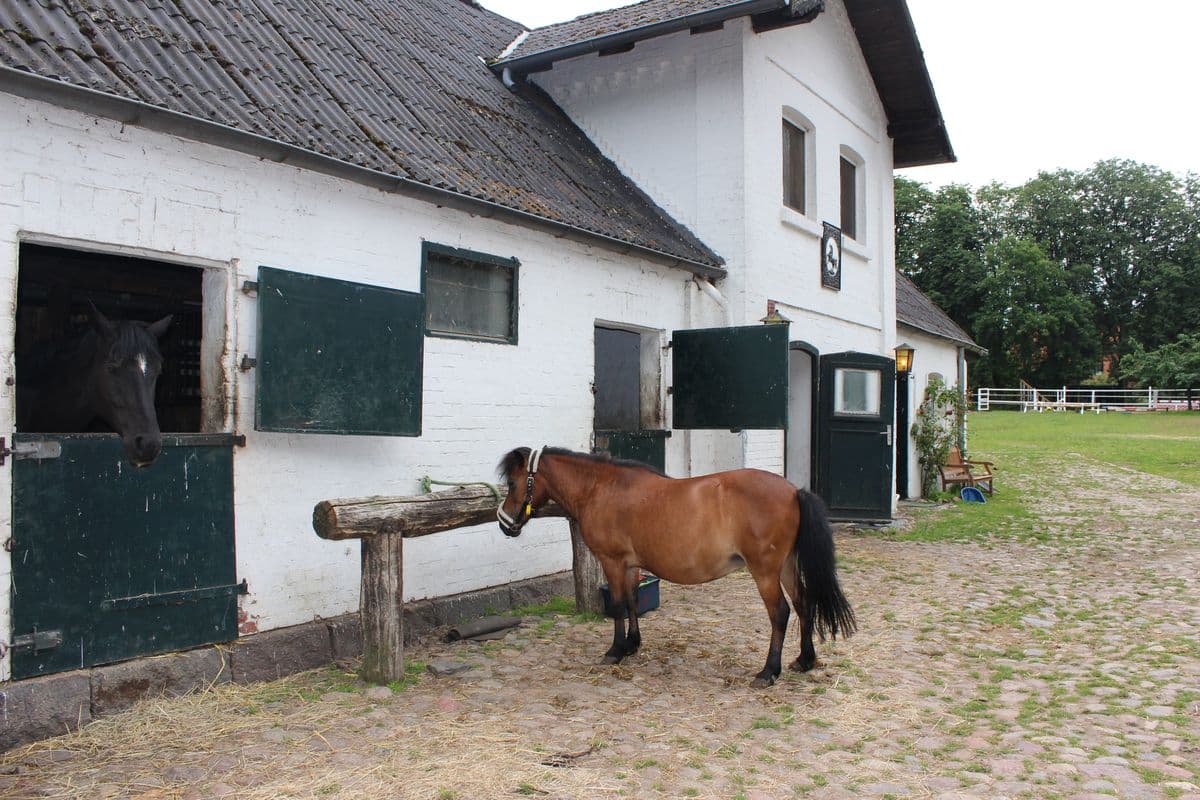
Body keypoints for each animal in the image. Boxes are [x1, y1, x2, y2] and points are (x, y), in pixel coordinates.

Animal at [496, 448, 854, 686]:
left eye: (513, 483)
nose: (504, 522)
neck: (601, 488)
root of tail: (793, 491)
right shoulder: (629, 565)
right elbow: (631, 602)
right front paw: (632, 645)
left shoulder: (612, 561)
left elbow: (616, 606)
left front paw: (614, 651)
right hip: (787, 566)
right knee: (805, 604)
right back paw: (804, 660)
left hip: (765, 571)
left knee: (780, 613)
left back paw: (768, 672)